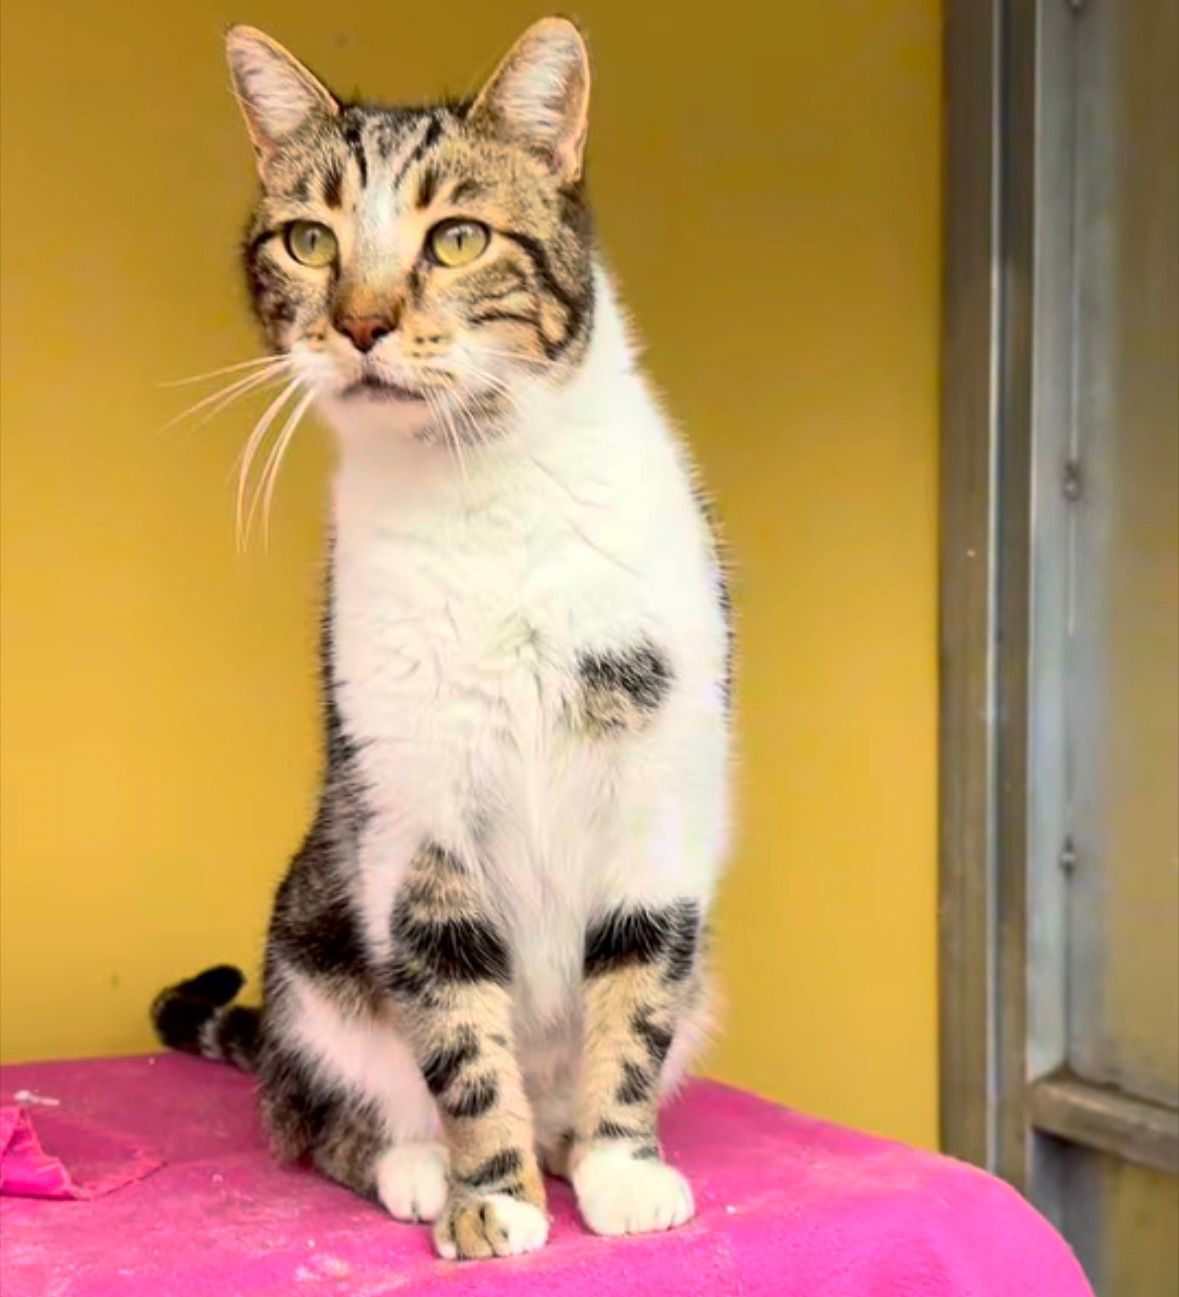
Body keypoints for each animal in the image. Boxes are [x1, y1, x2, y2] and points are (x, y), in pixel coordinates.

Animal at [152, 18, 733, 1261]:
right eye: (310, 241)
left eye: (459, 238)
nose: (361, 323)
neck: (487, 493)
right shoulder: (416, 815)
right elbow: (461, 1030)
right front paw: (493, 1197)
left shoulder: (657, 787)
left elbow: (636, 994)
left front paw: (619, 1167)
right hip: (314, 951)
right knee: (314, 1113)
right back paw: (415, 1162)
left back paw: (563, 1141)